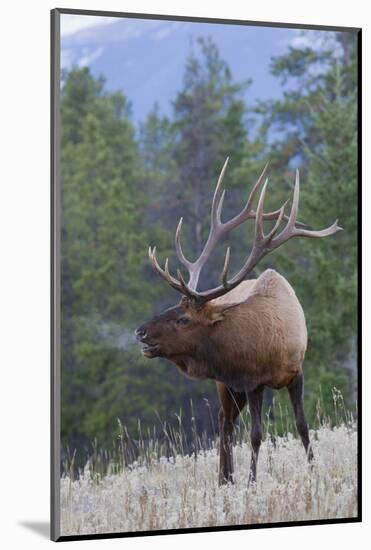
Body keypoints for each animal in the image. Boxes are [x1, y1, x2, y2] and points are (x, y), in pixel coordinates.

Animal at [135, 157, 342, 486]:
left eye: (183, 319)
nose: (141, 332)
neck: (272, 344)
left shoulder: (295, 373)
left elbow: (301, 425)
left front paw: (312, 470)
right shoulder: (252, 381)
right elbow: (256, 434)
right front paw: (251, 482)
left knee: (228, 421)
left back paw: (227, 477)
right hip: (227, 385)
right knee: (225, 422)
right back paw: (225, 478)